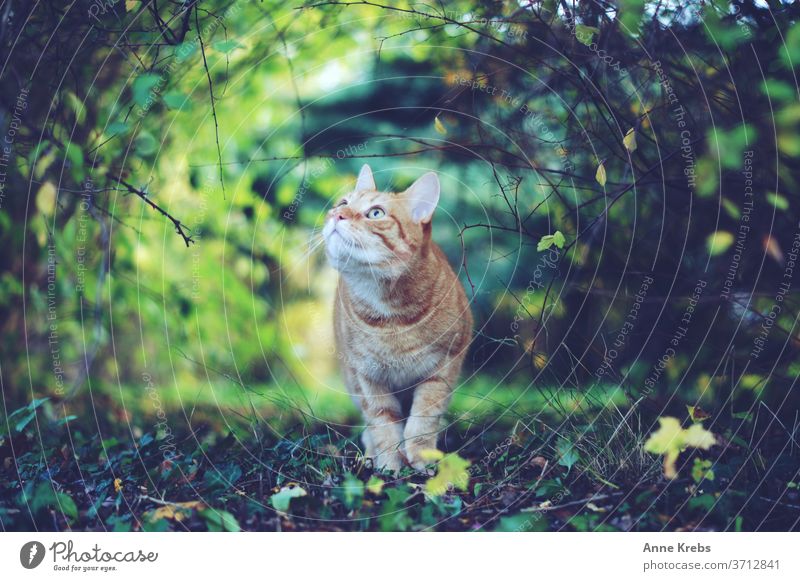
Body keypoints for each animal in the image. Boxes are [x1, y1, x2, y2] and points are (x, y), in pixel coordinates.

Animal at [324, 163, 476, 472]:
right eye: (343, 203)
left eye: (376, 213)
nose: (336, 214)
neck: (390, 316)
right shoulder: (367, 378)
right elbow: (382, 423)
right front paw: (389, 465)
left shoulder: (443, 367)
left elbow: (422, 419)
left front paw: (421, 457)